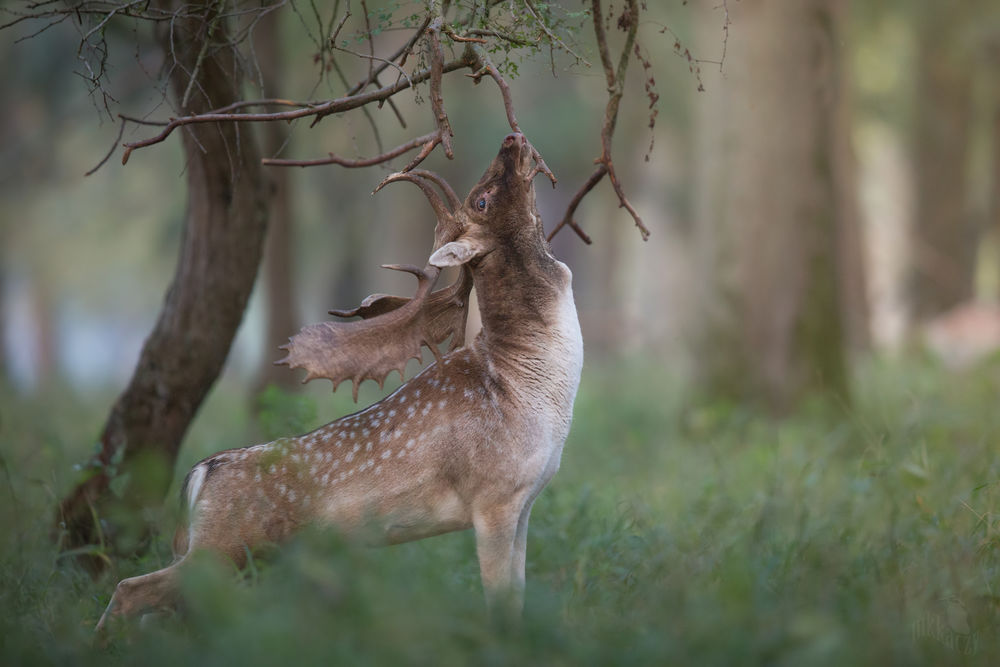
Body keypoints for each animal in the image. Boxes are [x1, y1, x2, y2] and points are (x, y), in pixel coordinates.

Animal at [95, 133, 584, 631]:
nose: (512, 138)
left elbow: (517, 596)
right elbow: (500, 603)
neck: (525, 385)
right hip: (220, 549)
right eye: (482, 199)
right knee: (130, 588)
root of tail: (200, 473)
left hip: (228, 556)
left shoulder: (524, 503)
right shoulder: (493, 497)